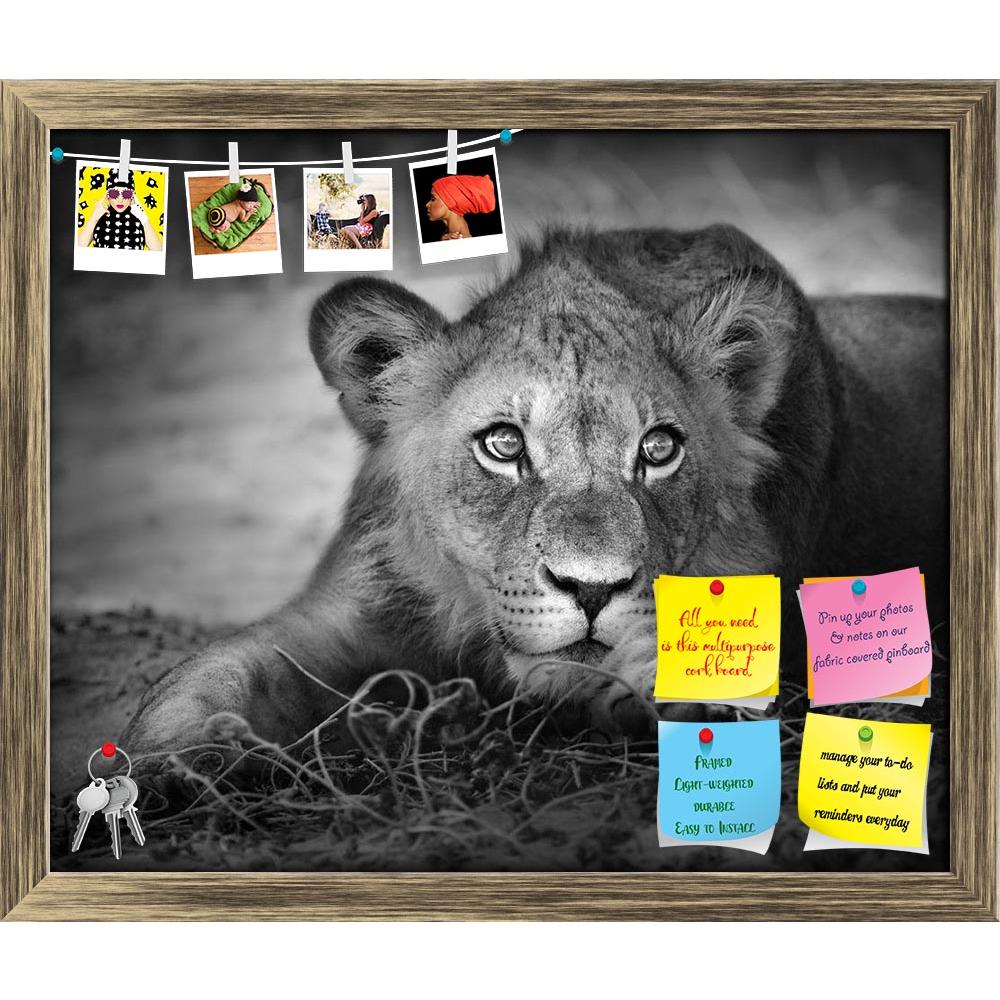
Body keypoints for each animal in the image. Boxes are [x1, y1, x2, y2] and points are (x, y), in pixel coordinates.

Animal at [121, 224, 947, 758]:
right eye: (503, 445)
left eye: (658, 449)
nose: (592, 589)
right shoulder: (352, 608)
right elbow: (215, 670)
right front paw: (169, 760)